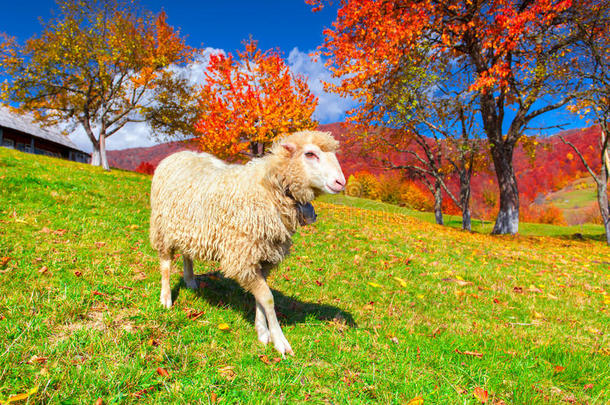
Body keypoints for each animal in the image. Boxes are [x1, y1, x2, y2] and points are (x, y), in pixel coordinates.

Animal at [149, 130, 344, 354]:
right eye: (310, 154)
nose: (341, 182)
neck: (270, 188)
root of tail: (179, 154)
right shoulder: (242, 256)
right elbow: (268, 298)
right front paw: (279, 341)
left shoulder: (264, 256)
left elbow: (260, 298)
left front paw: (262, 332)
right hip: (161, 228)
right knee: (165, 264)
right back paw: (166, 298)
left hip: (187, 228)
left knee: (187, 254)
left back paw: (190, 282)